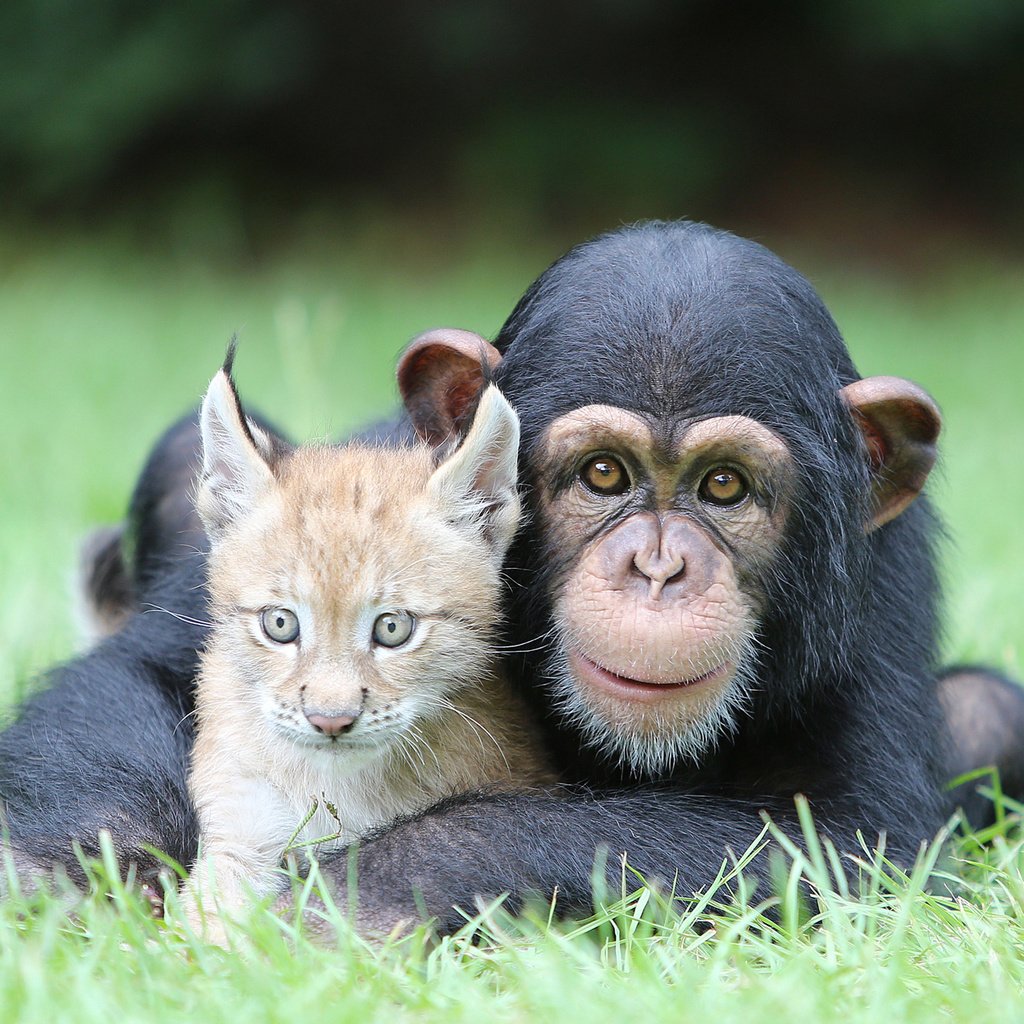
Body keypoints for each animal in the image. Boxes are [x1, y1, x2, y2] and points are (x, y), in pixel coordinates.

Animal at [2, 218, 1024, 929]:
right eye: (604, 475)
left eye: (724, 486)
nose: (659, 568)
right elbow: (142, 674)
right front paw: (71, 874)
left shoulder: (876, 595)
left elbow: (852, 844)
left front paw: (356, 898)